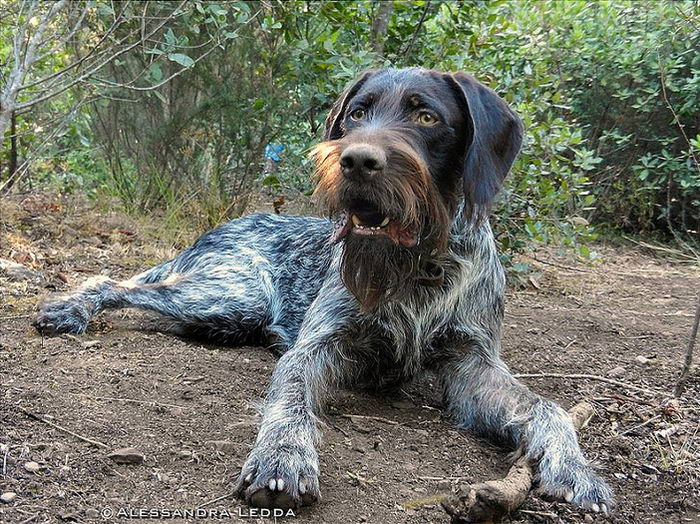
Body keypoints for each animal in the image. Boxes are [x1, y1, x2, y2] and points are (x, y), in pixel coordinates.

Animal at [32, 67, 612, 512]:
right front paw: (283, 457)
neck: (418, 264)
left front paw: (574, 467)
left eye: (427, 117)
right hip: (230, 293)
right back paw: (69, 309)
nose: (355, 160)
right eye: (356, 113)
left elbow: (548, 407)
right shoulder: (317, 346)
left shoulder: (473, 368)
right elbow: (290, 397)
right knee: (116, 281)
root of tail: (217, 229)